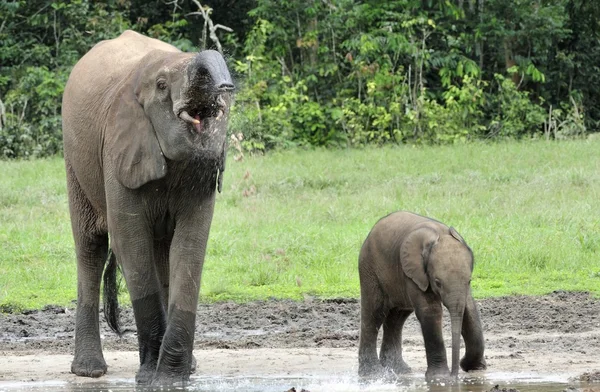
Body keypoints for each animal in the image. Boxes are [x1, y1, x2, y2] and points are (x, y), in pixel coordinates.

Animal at [62, 30, 234, 386]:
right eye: (162, 86)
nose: (225, 86)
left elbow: (190, 246)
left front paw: (171, 379)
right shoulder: (118, 149)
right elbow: (130, 242)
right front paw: (150, 378)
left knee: (162, 253)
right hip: (75, 160)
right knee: (91, 248)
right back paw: (89, 371)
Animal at [358, 211, 486, 380]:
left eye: (470, 280)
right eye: (437, 282)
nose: (455, 375)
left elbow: (469, 309)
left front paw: (473, 367)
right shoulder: (414, 271)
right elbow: (431, 311)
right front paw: (439, 378)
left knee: (397, 317)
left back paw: (398, 370)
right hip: (369, 268)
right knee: (374, 314)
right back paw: (373, 373)